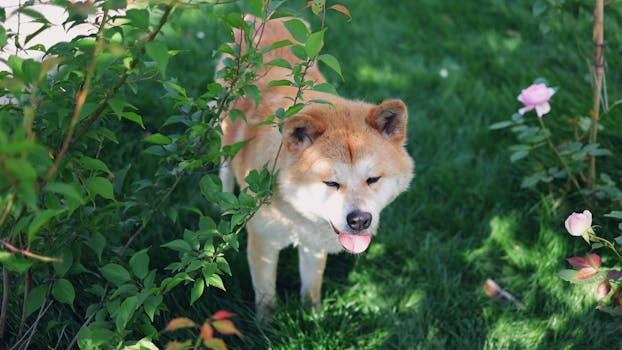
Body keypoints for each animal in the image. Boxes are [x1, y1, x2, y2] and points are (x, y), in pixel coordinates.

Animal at [219, 15, 414, 318]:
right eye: (331, 183)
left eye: (373, 179)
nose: (360, 220)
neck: (298, 212)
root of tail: (261, 18)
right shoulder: (263, 243)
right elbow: (266, 297)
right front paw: (266, 324)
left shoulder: (315, 244)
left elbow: (311, 286)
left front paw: (314, 316)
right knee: (225, 172)